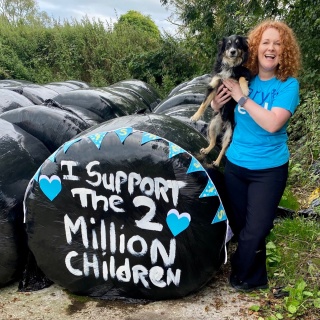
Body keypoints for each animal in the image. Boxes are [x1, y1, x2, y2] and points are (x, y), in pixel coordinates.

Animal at [191, 34, 251, 166]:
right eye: (228, 44)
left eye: (238, 44)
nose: (233, 51)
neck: (230, 65)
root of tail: (223, 124)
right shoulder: (215, 84)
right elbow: (204, 103)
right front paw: (195, 116)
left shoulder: (246, 74)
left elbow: (241, 78)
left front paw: (244, 90)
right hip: (212, 125)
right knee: (213, 142)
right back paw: (206, 150)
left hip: (230, 134)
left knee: (223, 149)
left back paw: (217, 162)